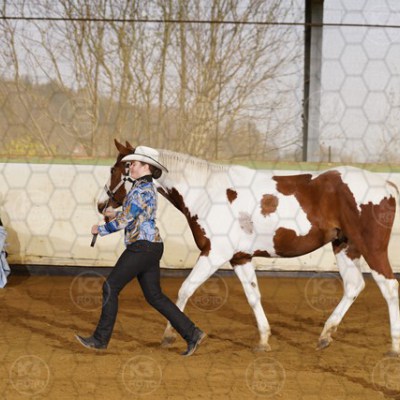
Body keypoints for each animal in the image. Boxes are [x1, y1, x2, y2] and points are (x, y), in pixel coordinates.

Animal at [97, 139, 400, 355]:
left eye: (115, 169)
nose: (102, 205)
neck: (207, 191)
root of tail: (386, 184)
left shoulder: (214, 254)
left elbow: (184, 290)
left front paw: (170, 335)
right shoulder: (240, 258)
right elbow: (254, 297)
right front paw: (263, 341)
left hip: (371, 248)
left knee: (389, 286)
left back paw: (394, 347)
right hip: (344, 246)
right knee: (354, 286)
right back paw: (325, 336)